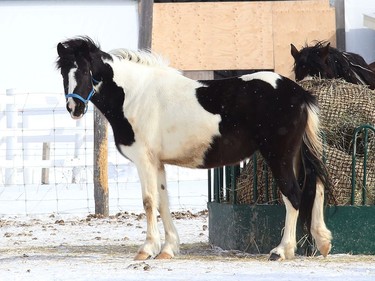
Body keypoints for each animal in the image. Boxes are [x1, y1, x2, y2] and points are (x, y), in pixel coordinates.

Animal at [55, 36, 332, 260]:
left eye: (86, 70)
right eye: (64, 72)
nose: (74, 108)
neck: (135, 95)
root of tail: (299, 93)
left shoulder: (144, 161)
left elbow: (148, 202)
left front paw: (147, 249)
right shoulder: (157, 163)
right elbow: (163, 202)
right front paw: (168, 249)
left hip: (279, 156)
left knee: (293, 195)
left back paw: (282, 251)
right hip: (294, 155)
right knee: (316, 186)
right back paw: (323, 242)